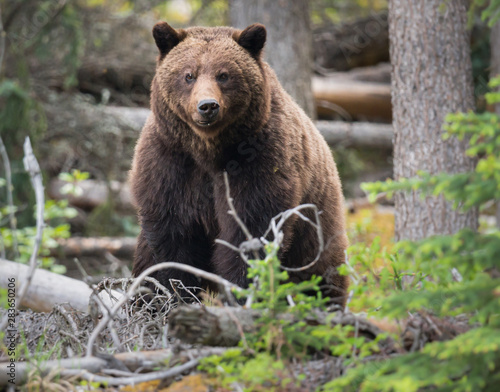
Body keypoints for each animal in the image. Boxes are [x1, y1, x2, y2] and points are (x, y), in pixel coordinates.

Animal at [130, 21, 348, 306]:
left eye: (223, 75)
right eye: (189, 75)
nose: (207, 106)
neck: (208, 150)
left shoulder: (260, 160)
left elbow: (251, 230)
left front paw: (242, 291)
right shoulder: (170, 162)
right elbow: (172, 237)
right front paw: (171, 293)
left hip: (317, 231)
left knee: (321, 278)